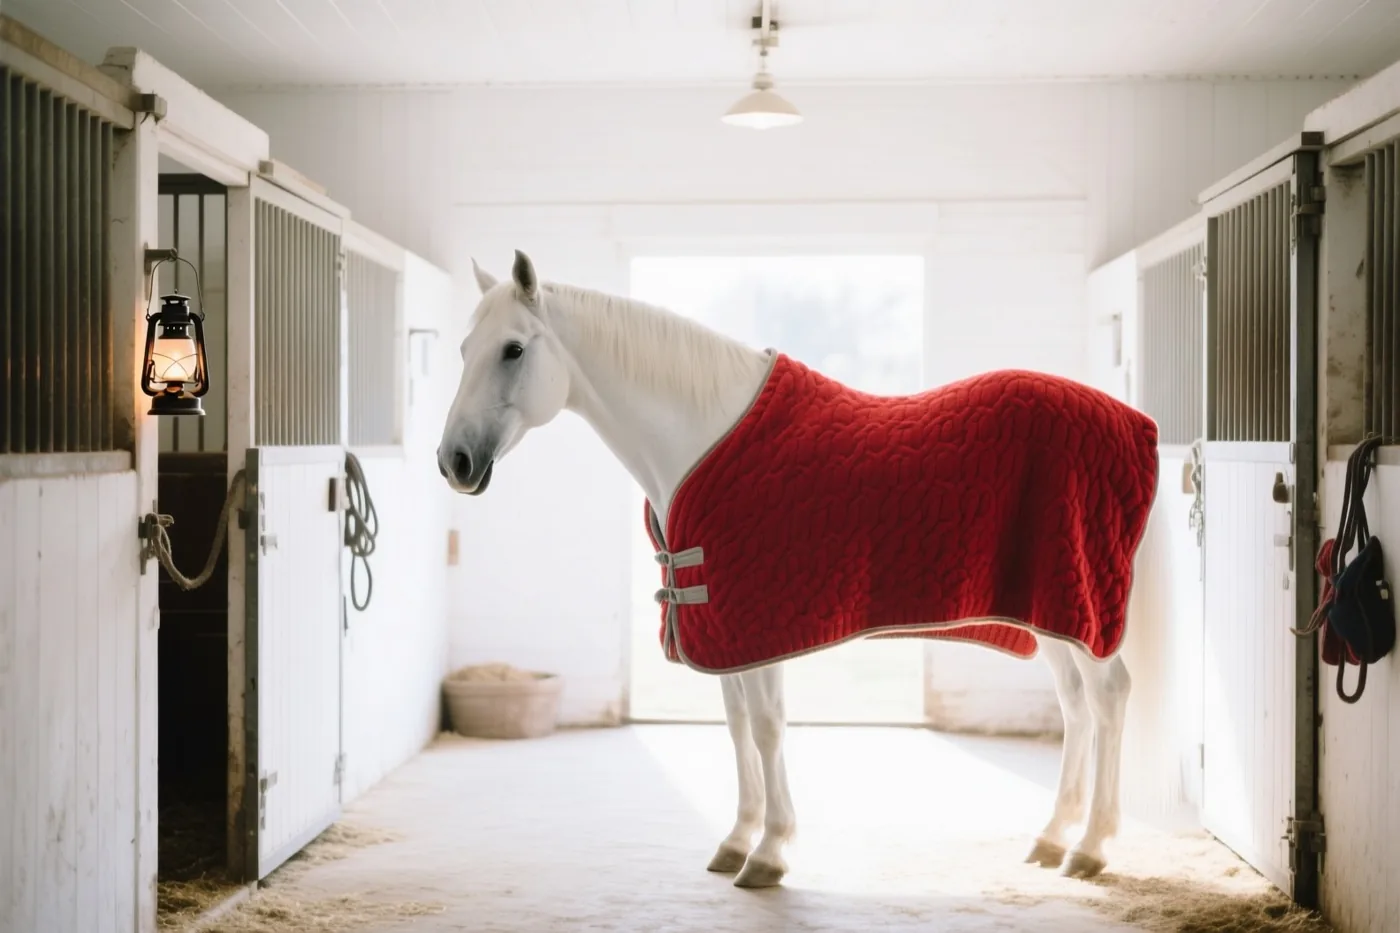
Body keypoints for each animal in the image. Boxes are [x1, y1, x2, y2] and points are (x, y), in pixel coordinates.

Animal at [437, 249, 1149, 889]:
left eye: (513, 350)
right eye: (464, 348)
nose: (453, 462)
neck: (702, 438)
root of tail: (1132, 422)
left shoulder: (760, 624)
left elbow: (767, 728)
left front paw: (771, 852)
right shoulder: (723, 631)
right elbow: (736, 729)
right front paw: (737, 838)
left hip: (1081, 606)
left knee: (1109, 697)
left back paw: (1090, 847)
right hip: (1053, 612)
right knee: (1076, 706)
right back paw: (1053, 837)